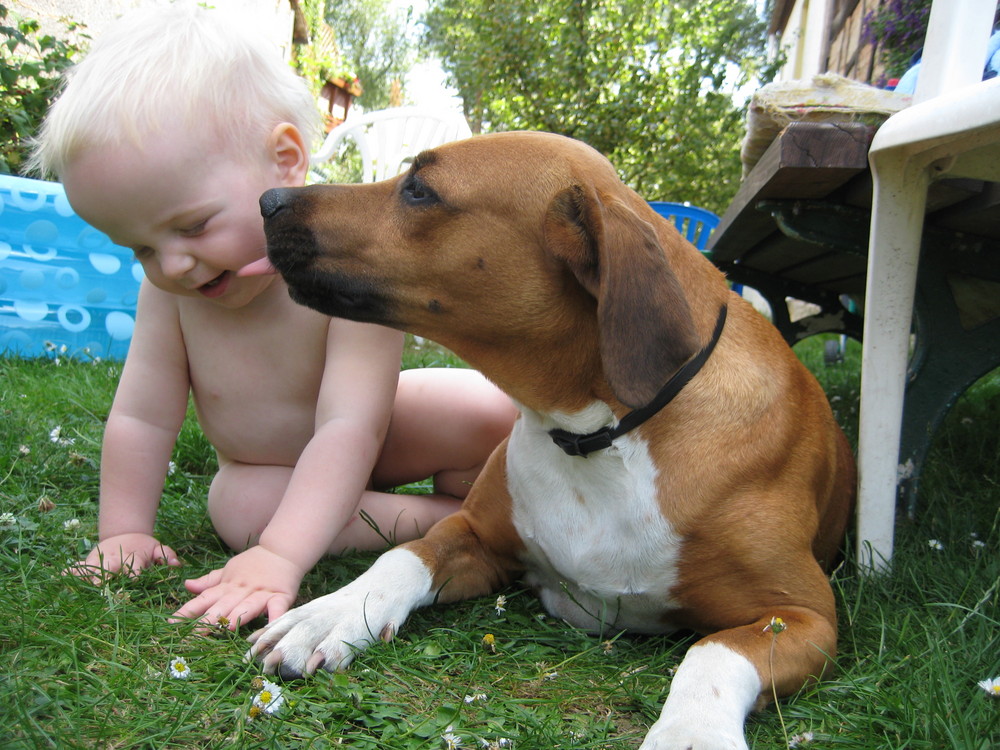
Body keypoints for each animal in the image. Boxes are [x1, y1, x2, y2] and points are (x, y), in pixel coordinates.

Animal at [246, 132, 856, 748]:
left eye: (419, 189)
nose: (267, 200)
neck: (602, 435)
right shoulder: (474, 536)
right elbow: (403, 556)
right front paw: (334, 610)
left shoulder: (803, 616)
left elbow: (714, 650)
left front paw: (692, 731)